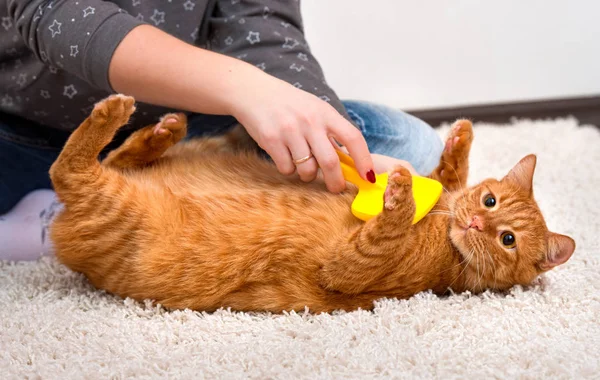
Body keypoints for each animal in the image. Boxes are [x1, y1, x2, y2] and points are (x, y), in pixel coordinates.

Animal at [49, 94, 576, 312]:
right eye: (489, 200)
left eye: (507, 240)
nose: (475, 225)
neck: (442, 234)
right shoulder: (445, 194)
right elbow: (447, 176)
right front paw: (459, 141)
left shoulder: (346, 269)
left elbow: (384, 229)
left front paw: (399, 196)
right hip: (186, 152)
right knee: (115, 158)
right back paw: (160, 131)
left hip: (112, 203)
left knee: (69, 168)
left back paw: (116, 112)